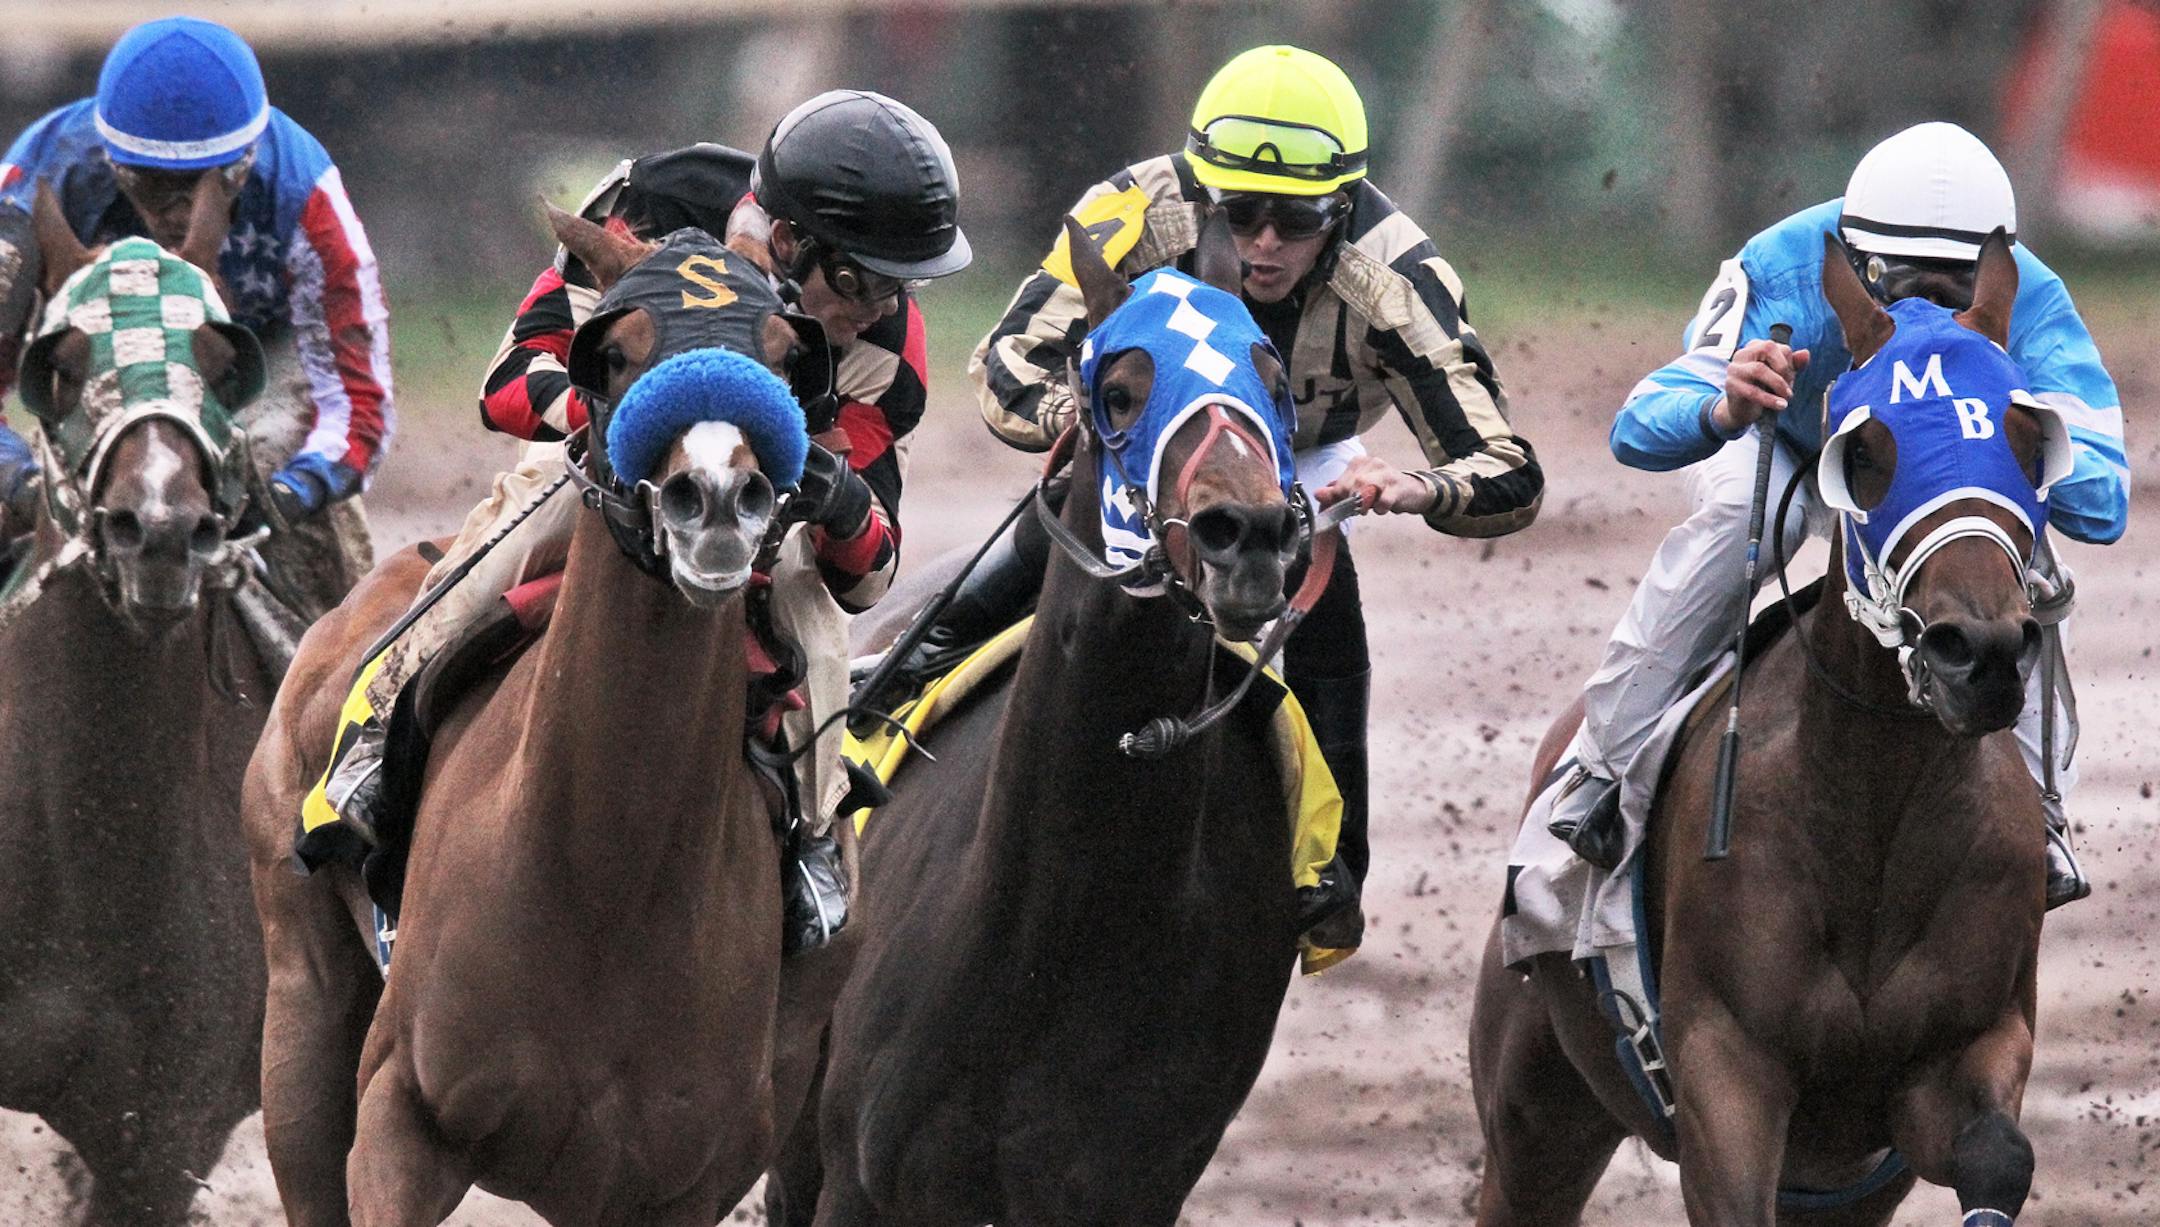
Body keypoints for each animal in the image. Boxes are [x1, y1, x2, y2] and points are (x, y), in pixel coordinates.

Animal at [1469, 230, 2062, 1225]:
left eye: (2026, 442)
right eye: (1865, 452)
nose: (1977, 652)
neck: (1874, 815)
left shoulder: (1962, 1055)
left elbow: (1997, 1154)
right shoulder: (1726, 1066)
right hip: (1535, 1104)